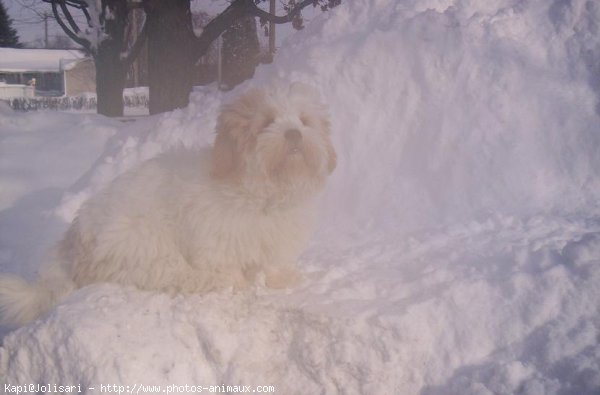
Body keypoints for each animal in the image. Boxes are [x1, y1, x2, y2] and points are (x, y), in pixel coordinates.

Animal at [0, 82, 336, 326]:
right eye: (267, 121)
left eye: (305, 122)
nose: (294, 134)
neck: (261, 193)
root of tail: (72, 249)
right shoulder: (213, 241)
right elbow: (224, 265)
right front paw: (236, 283)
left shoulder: (276, 239)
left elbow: (274, 263)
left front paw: (282, 279)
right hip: (141, 239)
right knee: (168, 274)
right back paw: (206, 281)